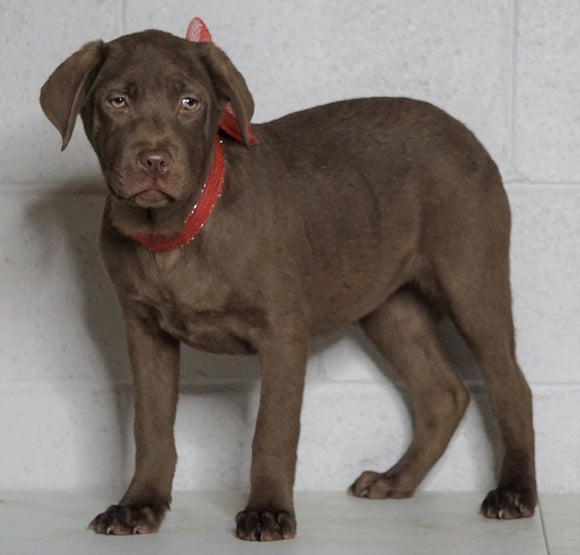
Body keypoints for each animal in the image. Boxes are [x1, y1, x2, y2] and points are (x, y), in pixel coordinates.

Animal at [39, 22, 540, 544]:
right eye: (117, 101)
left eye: (189, 103)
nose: (154, 160)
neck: (178, 231)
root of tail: (465, 133)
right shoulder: (144, 330)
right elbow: (152, 427)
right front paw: (139, 504)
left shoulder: (281, 332)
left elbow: (273, 430)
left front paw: (267, 511)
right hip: (388, 305)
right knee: (443, 394)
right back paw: (396, 480)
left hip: (471, 280)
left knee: (511, 385)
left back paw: (514, 492)